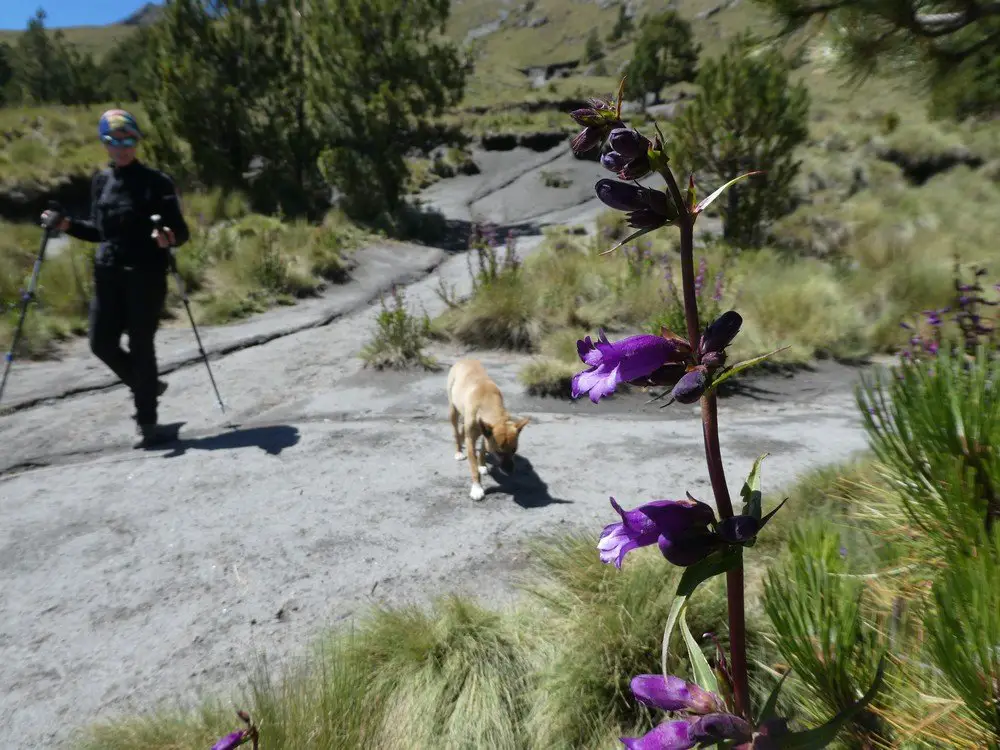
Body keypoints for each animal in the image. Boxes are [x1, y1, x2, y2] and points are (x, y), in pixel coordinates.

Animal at [450, 360, 532, 502]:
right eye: (498, 452)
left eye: (514, 450)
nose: (510, 470)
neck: (487, 401)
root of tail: (465, 359)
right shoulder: (472, 440)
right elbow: (473, 466)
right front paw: (477, 488)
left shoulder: (486, 434)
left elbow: (483, 450)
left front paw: (481, 464)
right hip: (453, 410)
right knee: (456, 431)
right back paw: (459, 451)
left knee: (462, 432)